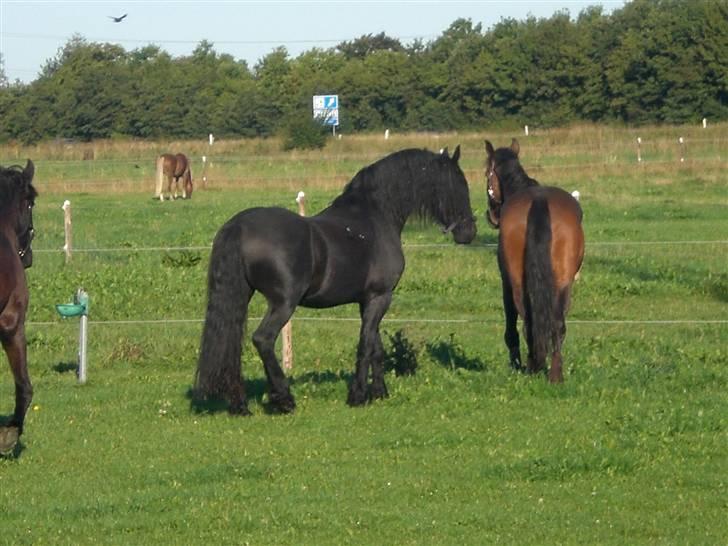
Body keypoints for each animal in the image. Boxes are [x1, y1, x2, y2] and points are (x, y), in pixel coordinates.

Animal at [193, 144, 478, 412]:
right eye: (458, 185)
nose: (469, 232)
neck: (374, 216)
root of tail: (238, 226)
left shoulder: (367, 300)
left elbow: (376, 347)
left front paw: (379, 392)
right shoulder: (380, 296)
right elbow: (365, 345)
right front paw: (358, 396)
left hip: (241, 297)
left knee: (231, 345)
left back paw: (240, 405)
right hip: (283, 304)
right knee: (262, 340)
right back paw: (284, 399)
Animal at [484, 138, 584, 380]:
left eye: (486, 173)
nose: (491, 215)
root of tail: (539, 201)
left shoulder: (505, 281)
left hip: (518, 283)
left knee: (527, 318)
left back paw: (532, 366)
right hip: (563, 283)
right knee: (556, 323)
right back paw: (554, 373)